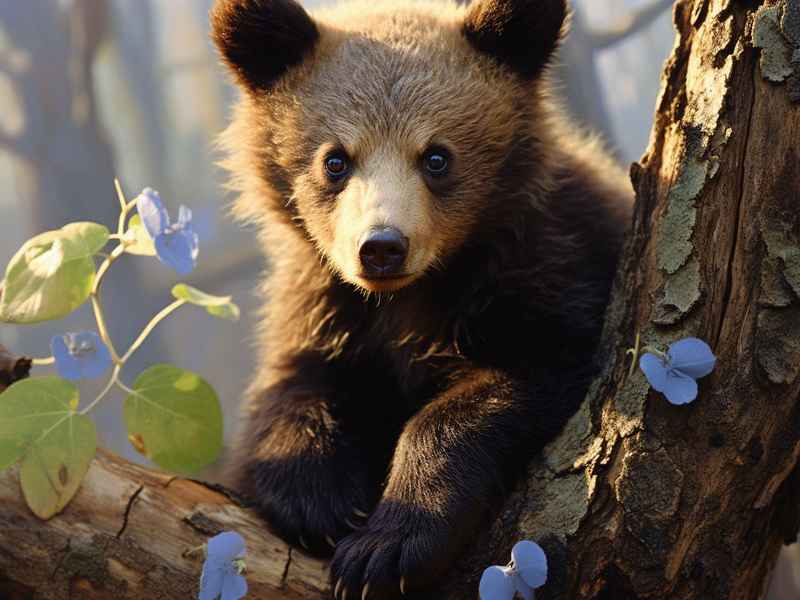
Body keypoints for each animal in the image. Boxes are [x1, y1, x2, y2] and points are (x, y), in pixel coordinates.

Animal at [210, 0, 633, 597]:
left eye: (436, 157)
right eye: (335, 160)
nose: (381, 248)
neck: (407, 296)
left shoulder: (551, 265)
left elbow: (519, 376)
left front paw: (383, 548)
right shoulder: (325, 303)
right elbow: (289, 391)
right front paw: (321, 503)